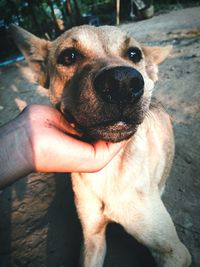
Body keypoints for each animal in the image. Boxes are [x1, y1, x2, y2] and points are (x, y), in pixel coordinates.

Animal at [10, 24, 191, 266]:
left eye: (134, 54)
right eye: (69, 56)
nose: (122, 82)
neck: (108, 175)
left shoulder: (175, 252)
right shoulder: (91, 238)